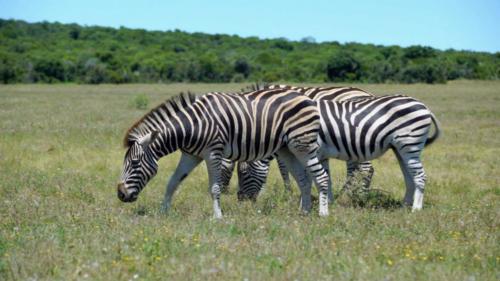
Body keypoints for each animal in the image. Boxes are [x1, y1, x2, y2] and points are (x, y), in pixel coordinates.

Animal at [117, 89, 332, 217]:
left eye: (134, 163)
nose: (120, 194)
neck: (191, 127)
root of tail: (309, 99)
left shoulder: (213, 152)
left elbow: (215, 187)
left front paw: (218, 216)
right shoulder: (190, 155)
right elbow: (173, 182)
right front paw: (163, 212)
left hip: (303, 145)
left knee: (321, 176)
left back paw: (322, 213)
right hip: (287, 149)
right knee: (304, 180)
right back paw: (304, 212)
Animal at [219, 84, 376, 200]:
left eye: (244, 173)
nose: (239, 197)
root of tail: (367, 93)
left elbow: (282, 169)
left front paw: (286, 192)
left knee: (365, 169)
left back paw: (355, 195)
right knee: (357, 169)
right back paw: (352, 193)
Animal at [236, 94, 440, 210]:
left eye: (244, 173)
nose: (240, 200)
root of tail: (423, 105)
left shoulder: (311, 151)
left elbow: (309, 178)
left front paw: (309, 205)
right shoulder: (321, 154)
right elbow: (324, 177)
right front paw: (328, 202)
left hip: (410, 144)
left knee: (420, 175)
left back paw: (416, 209)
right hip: (399, 148)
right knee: (409, 176)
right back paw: (405, 206)